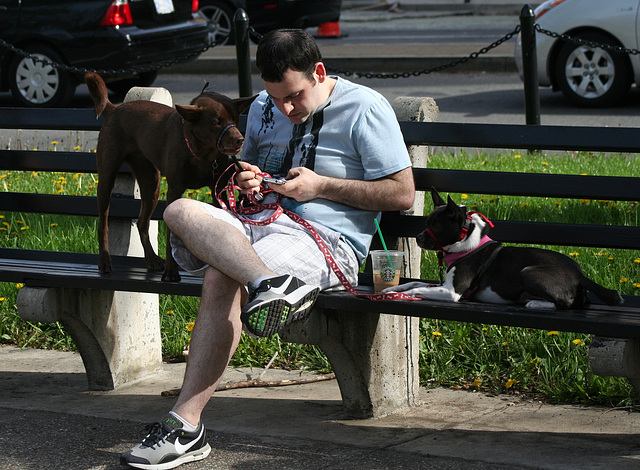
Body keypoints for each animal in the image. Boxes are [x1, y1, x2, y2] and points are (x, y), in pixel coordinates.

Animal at [84, 71, 256, 280]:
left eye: (236, 120)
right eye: (217, 122)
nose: (240, 139)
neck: (202, 154)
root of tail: (114, 109)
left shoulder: (218, 192)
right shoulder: (174, 190)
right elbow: (170, 236)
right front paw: (171, 272)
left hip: (151, 183)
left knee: (142, 223)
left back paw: (152, 259)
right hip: (107, 178)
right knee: (104, 223)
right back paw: (105, 261)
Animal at [384, 187, 624, 308]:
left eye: (435, 226)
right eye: (426, 222)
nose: (417, 238)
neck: (466, 245)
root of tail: (580, 274)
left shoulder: (452, 292)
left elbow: (417, 289)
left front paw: (402, 293)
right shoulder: (443, 285)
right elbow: (415, 282)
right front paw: (391, 290)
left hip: (529, 272)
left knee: (567, 303)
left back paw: (533, 303)